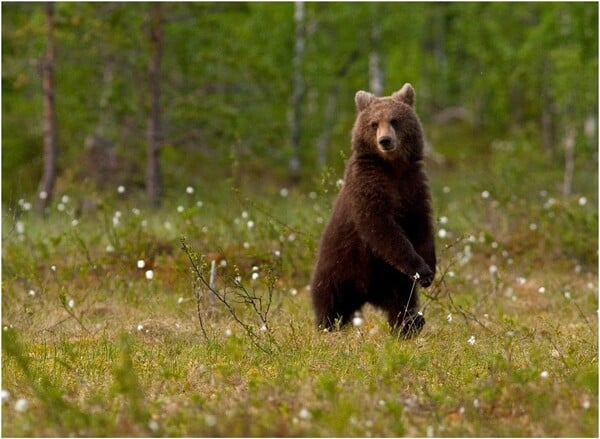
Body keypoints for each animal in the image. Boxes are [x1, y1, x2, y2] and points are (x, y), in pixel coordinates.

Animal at [312, 84, 434, 340]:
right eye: (374, 123)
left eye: (395, 120)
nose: (385, 140)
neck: (392, 167)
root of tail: (366, 294)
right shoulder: (368, 185)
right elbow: (382, 227)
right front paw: (422, 270)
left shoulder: (413, 185)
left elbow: (422, 224)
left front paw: (431, 267)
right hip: (337, 267)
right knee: (329, 302)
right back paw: (327, 327)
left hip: (391, 279)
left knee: (402, 303)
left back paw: (410, 324)